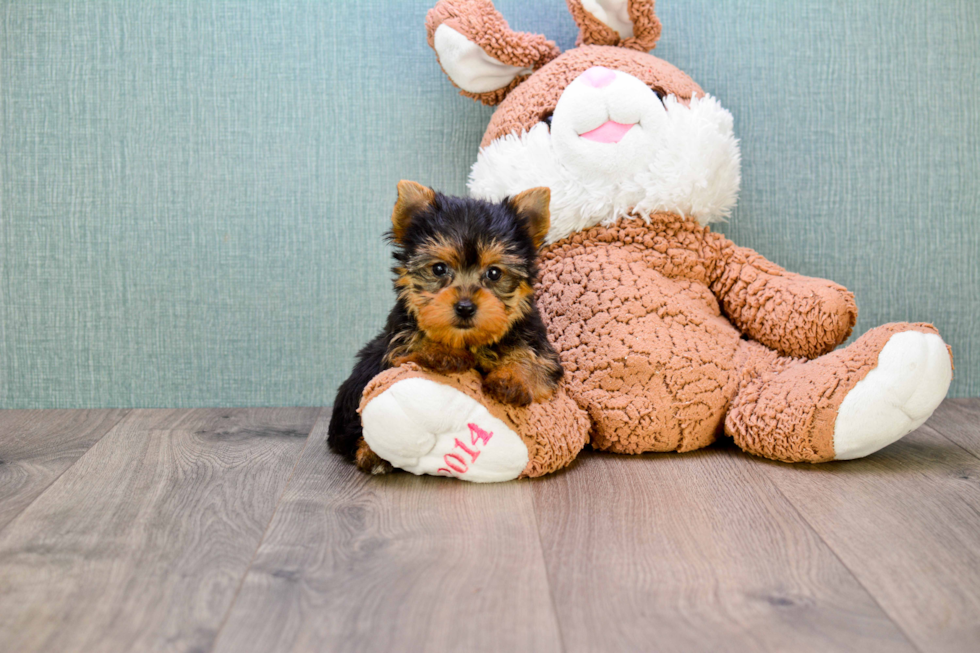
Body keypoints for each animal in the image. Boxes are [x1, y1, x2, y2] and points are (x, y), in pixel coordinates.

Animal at [328, 180, 564, 474]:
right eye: (439, 269)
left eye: (494, 273)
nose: (465, 307)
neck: (467, 340)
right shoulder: (397, 338)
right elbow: (415, 339)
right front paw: (444, 353)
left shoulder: (537, 341)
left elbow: (535, 360)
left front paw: (512, 379)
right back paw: (373, 455)